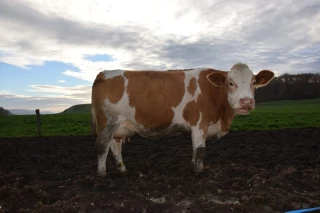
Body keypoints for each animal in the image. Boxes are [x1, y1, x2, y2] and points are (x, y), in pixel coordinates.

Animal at [90, 62, 276, 176]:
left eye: (253, 82)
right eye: (230, 82)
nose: (246, 101)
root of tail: (103, 73)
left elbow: (194, 150)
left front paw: (194, 167)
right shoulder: (200, 123)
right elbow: (200, 150)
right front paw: (199, 172)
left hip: (119, 126)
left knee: (115, 147)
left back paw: (123, 171)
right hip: (107, 122)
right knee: (102, 147)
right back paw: (102, 175)